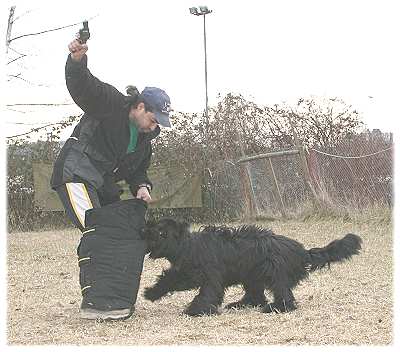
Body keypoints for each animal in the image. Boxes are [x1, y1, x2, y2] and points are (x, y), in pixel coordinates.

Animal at [142, 219, 360, 318]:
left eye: (162, 233)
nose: (145, 231)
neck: (188, 246)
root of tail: (302, 251)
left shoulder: (211, 276)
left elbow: (207, 293)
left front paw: (195, 310)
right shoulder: (185, 273)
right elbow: (169, 279)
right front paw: (151, 293)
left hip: (274, 273)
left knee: (284, 297)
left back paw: (275, 308)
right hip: (252, 275)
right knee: (256, 296)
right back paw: (240, 304)